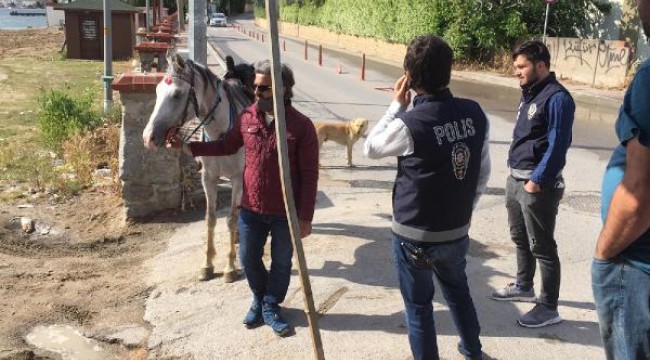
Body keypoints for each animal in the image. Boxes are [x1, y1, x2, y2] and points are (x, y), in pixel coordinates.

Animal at [142, 52, 253, 282]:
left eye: (177, 94)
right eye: (157, 91)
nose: (148, 137)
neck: (222, 133)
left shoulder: (238, 177)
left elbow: (230, 219)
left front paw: (230, 266)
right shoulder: (208, 178)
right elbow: (210, 219)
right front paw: (207, 264)